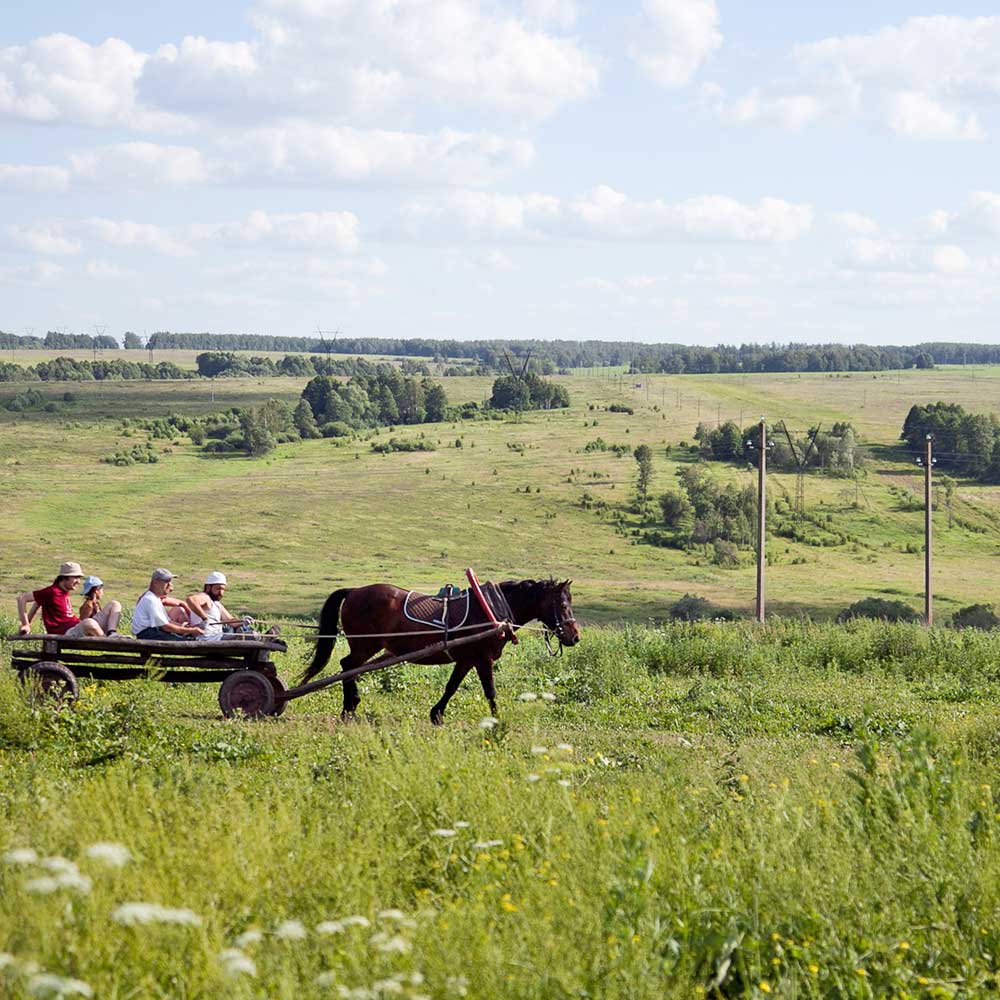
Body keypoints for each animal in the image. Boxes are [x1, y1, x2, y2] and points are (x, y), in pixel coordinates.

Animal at [298, 580, 580, 728]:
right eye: (563, 604)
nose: (575, 636)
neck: (490, 609)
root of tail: (354, 591)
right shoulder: (483, 657)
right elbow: (490, 691)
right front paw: (496, 720)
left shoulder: (467, 659)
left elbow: (451, 686)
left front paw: (437, 714)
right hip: (365, 645)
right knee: (348, 666)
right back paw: (350, 707)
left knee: (348, 667)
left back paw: (350, 707)